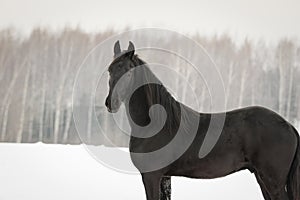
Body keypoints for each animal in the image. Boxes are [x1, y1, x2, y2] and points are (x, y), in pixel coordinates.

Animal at [104, 41, 298, 200]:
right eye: (110, 71)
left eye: (128, 73)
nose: (110, 103)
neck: (154, 125)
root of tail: (289, 126)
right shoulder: (165, 177)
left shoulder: (151, 176)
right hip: (261, 178)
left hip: (272, 182)